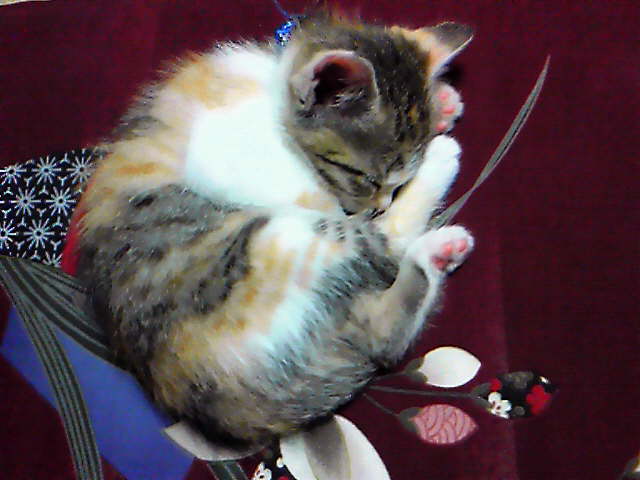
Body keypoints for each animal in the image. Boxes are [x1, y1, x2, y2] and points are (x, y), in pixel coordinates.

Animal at [72, 12, 475, 446]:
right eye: (365, 177)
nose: (380, 204)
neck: (270, 87)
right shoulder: (229, 159)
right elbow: (348, 214)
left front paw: (443, 102)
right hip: (279, 241)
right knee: (383, 246)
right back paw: (442, 173)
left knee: (382, 336)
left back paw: (439, 253)